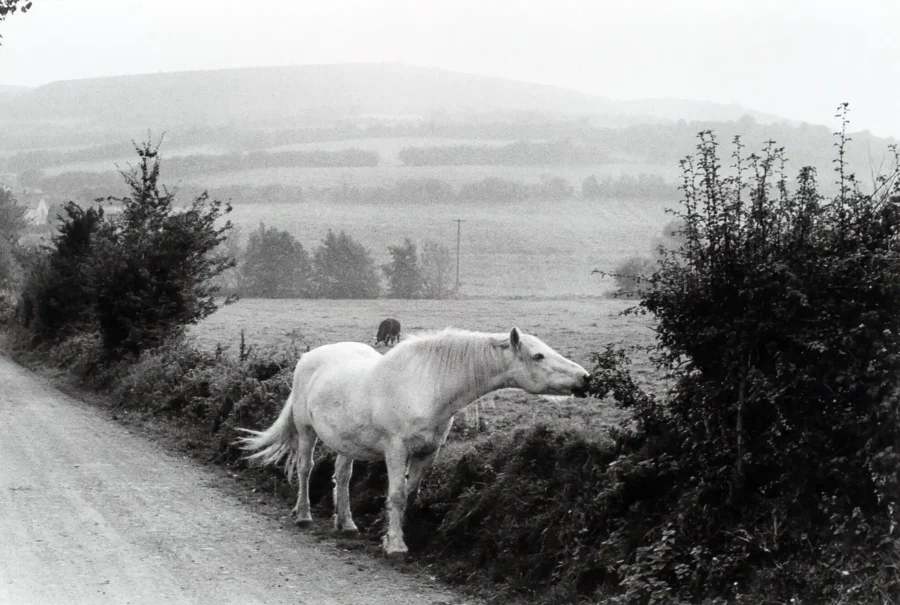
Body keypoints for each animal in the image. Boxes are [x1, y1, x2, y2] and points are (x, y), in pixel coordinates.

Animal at [237, 327, 591, 562]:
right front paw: (396, 546)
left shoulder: (427, 454)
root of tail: (310, 357)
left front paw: (386, 533)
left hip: (345, 443)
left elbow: (409, 493)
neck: (427, 386)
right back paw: (303, 515)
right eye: (537, 355)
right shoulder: (396, 451)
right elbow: (395, 495)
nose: (585, 379)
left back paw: (346, 523)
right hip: (307, 431)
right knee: (305, 469)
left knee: (343, 476)